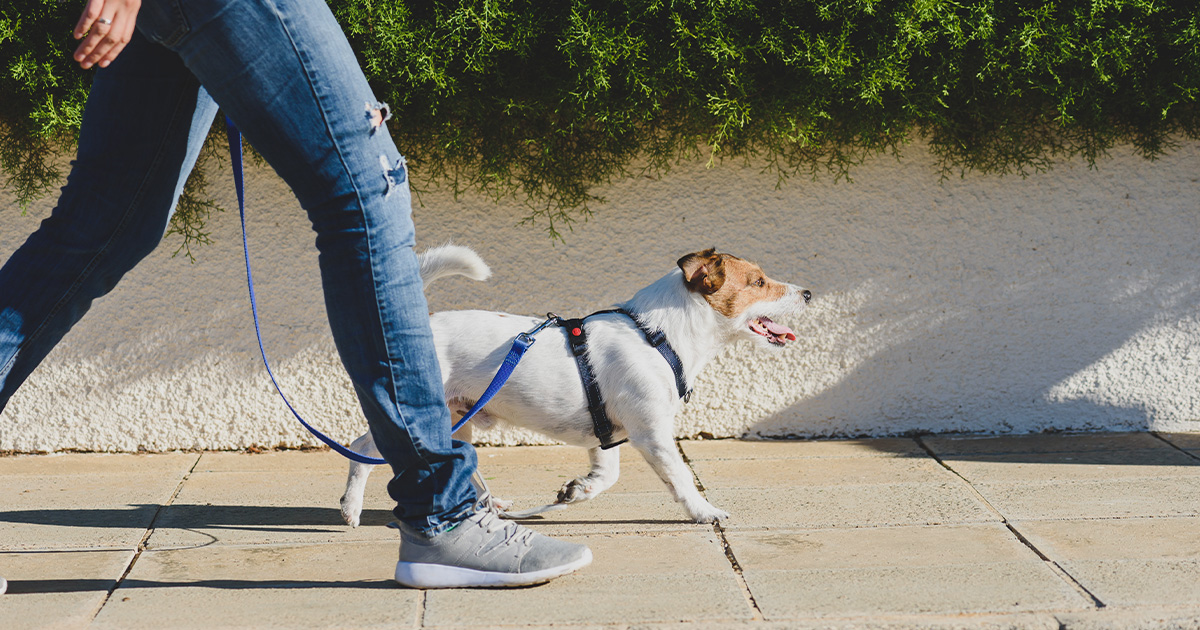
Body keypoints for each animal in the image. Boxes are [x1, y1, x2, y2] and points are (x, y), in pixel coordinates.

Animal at [338, 243, 811, 523]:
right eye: (759, 282)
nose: (808, 293)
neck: (658, 335)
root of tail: (423, 325)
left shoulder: (608, 434)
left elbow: (606, 476)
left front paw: (576, 491)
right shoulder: (652, 434)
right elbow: (680, 478)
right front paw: (704, 511)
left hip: (459, 418)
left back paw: (491, 506)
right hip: (420, 415)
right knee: (362, 449)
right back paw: (351, 508)